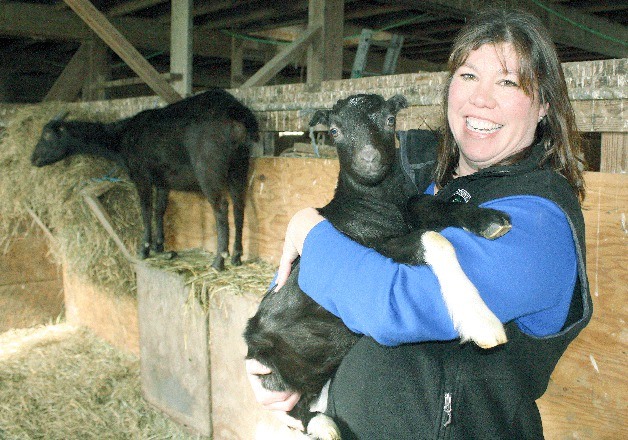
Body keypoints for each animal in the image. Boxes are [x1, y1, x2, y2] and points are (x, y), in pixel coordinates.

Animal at [31, 88, 258, 270]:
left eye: (48, 136)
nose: (33, 159)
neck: (121, 138)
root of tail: (236, 113)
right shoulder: (163, 180)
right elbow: (160, 209)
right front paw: (160, 246)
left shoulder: (141, 176)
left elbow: (146, 210)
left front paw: (145, 248)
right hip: (240, 164)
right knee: (239, 205)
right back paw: (237, 256)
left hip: (209, 168)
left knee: (221, 207)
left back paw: (219, 261)